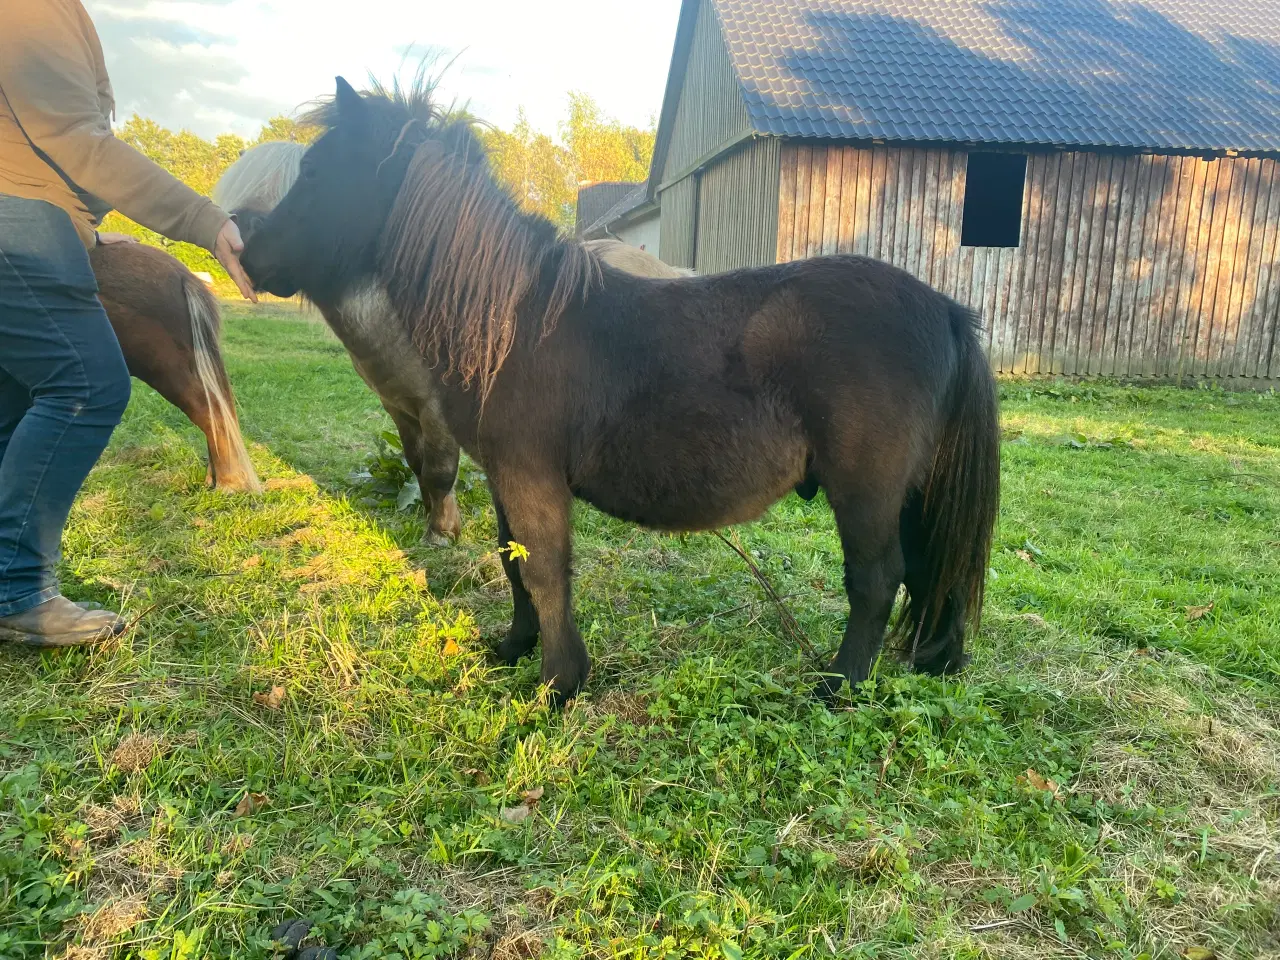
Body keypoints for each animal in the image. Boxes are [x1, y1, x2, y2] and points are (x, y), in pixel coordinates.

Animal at [215, 145, 686, 545]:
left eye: (304, 188)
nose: (243, 253)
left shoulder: (438, 409)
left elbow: (441, 470)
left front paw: (441, 534)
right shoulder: (398, 406)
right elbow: (418, 464)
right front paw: (435, 518)